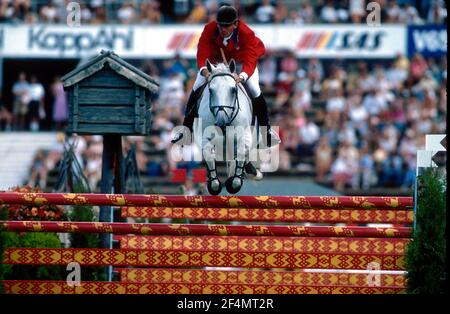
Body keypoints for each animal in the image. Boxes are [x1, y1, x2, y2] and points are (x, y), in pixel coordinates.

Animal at [192, 59, 262, 194]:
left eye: (233, 90)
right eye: (210, 90)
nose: (221, 122)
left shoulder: (243, 137)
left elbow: (240, 154)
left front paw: (233, 184)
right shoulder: (205, 138)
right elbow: (209, 155)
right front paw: (214, 185)